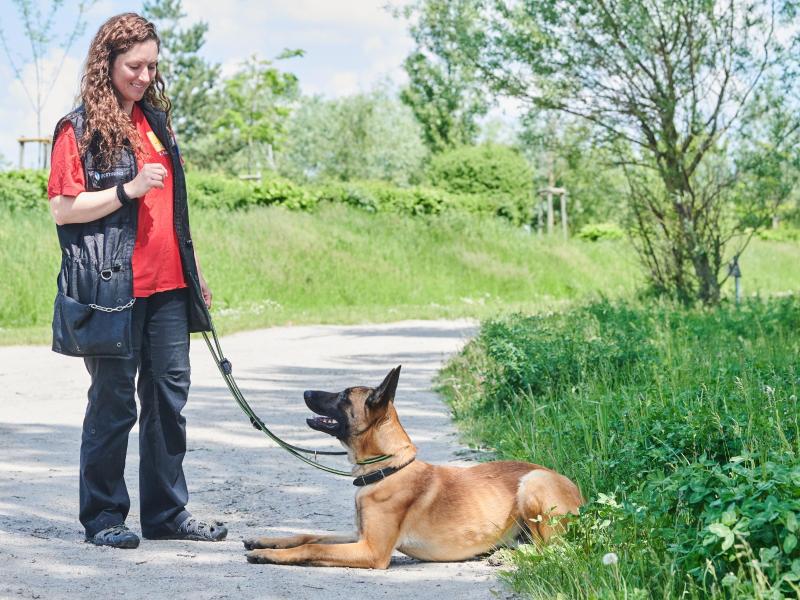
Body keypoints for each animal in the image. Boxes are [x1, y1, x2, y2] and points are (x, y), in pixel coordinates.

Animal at [244, 366, 580, 568]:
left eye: (343, 396)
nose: (306, 393)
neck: (387, 469)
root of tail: (580, 494)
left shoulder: (372, 551)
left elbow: (312, 548)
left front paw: (266, 554)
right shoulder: (358, 535)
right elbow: (308, 535)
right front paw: (266, 541)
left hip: (533, 483)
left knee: (551, 548)